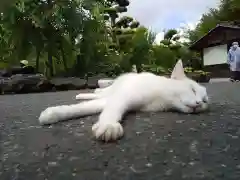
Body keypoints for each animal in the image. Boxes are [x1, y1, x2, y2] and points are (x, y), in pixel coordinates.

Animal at [38, 59, 209, 141]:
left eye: (205, 100)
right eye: (192, 89)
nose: (199, 103)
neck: (161, 99)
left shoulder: (118, 99)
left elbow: (88, 107)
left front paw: (54, 114)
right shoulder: (123, 97)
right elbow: (103, 109)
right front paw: (108, 125)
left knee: (99, 96)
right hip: (113, 90)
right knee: (99, 92)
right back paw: (83, 94)